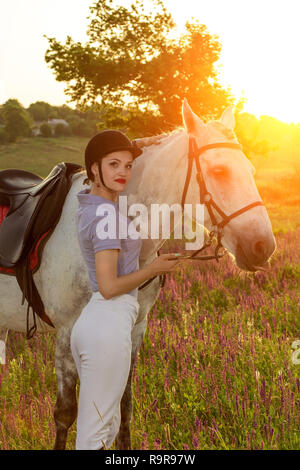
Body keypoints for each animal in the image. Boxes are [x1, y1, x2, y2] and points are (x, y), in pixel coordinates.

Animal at [0, 101, 276, 450]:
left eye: (251, 171)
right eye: (219, 172)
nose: (263, 246)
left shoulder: (134, 330)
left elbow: (124, 407)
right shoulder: (66, 334)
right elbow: (65, 414)